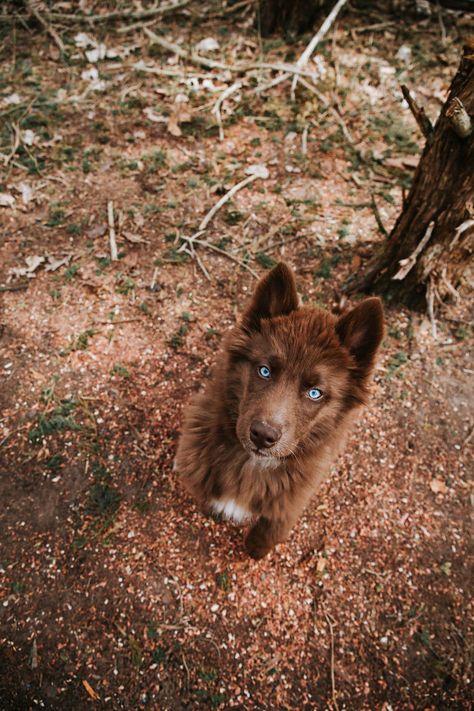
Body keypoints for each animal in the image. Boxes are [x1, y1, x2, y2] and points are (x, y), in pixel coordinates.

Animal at [176, 264, 384, 560]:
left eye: (315, 393)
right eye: (264, 370)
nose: (263, 436)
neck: (252, 464)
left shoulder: (292, 498)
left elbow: (271, 529)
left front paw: (255, 550)